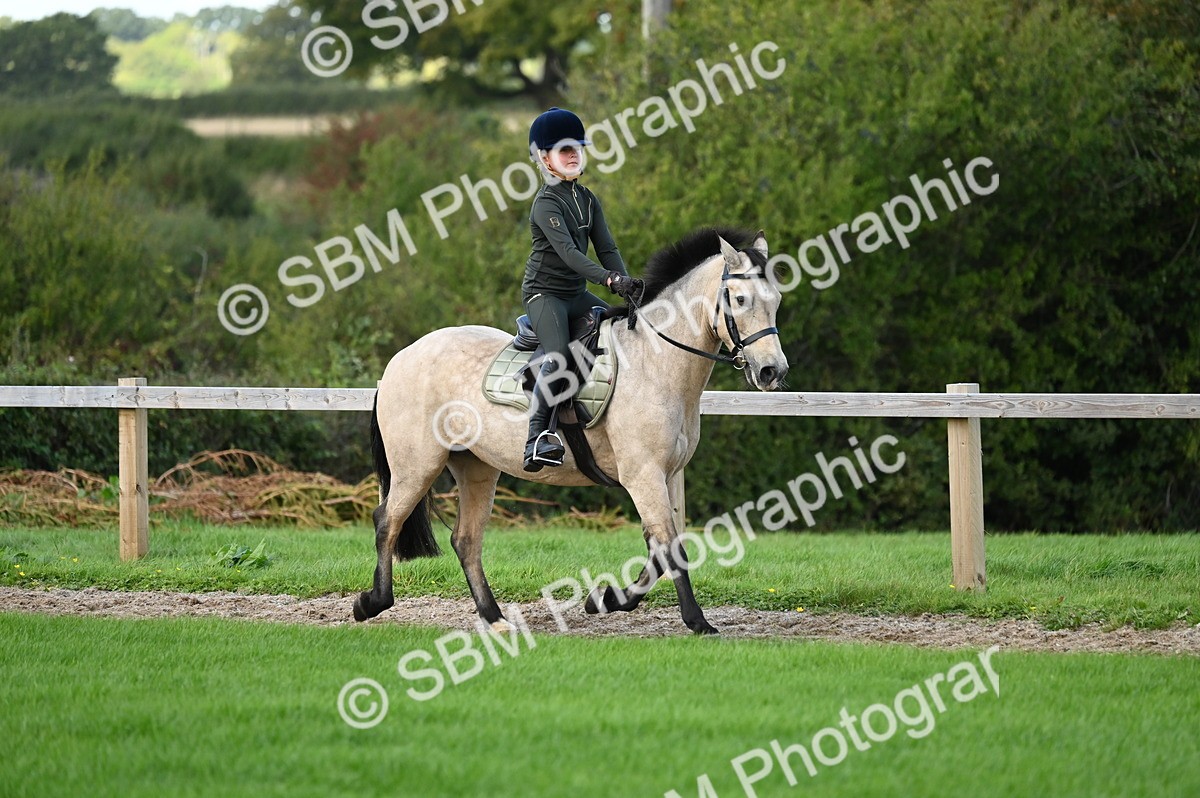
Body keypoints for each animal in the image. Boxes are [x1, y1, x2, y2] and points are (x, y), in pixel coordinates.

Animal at [353, 226, 789, 634]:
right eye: (739, 299)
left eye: (777, 302)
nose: (773, 372)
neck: (655, 361)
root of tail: (401, 357)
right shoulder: (644, 475)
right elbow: (669, 549)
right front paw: (697, 621)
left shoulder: (663, 476)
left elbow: (659, 550)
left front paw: (608, 599)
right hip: (418, 465)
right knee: (387, 521)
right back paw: (371, 603)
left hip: (476, 468)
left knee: (466, 540)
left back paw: (495, 619)